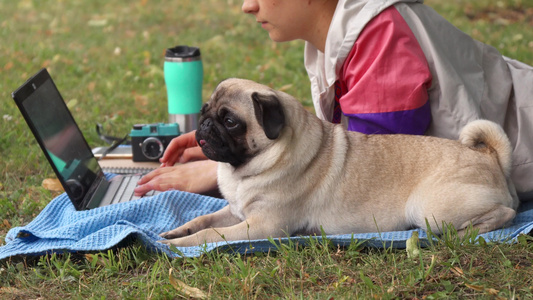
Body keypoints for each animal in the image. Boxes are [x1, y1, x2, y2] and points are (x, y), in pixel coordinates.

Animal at [160, 78, 516, 247]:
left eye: (230, 122)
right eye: (204, 110)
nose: (204, 125)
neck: (242, 172)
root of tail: (489, 157)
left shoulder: (262, 226)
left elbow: (209, 235)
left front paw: (183, 246)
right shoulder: (236, 212)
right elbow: (204, 219)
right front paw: (176, 232)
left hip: (430, 210)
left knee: (507, 213)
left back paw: (468, 232)